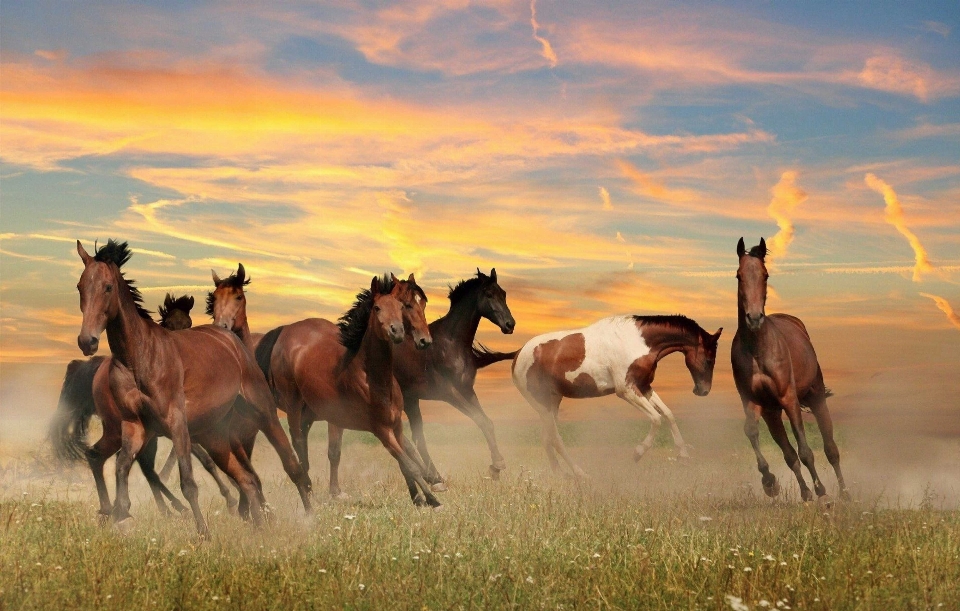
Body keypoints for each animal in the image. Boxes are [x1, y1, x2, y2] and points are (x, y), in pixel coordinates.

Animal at [49, 294, 239, 520]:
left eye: (189, 323)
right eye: (169, 325)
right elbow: (203, 459)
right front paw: (230, 497)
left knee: (136, 464)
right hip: (126, 430)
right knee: (139, 465)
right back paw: (167, 507)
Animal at [74, 240, 310, 536]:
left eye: (107, 287)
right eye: (80, 287)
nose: (87, 341)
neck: (139, 358)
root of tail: (231, 341)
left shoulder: (177, 424)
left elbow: (188, 481)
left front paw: (203, 534)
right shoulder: (135, 426)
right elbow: (122, 467)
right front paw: (119, 513)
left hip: (263, 414)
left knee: (290, 465)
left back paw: (310, 517)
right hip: (214, 436)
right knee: (246, 478)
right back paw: (257, 527)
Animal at [255, 276, 442, 506]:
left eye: (420, 304)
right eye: (407, 304)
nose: (424, 340)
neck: (372, 377)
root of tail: (285, 332)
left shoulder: (393, 424)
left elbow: (406, 455)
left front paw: (423, 492)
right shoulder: (380, 428)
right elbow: (407, 461)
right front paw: (431, 496)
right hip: (294, 406)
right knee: (297, 441)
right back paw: (308, 488)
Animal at [510, 316, 720, 478]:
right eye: (709, 359)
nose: (703, 390)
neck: (638, 342)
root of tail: (518, 353)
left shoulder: (644, 387)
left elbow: (668, 414)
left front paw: (683, 456)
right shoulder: (626, 390)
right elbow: (656, 418)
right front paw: (638, 453)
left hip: (552, 403)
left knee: (546, 438)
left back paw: (561, 475)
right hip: (543, 405)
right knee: (555, 438)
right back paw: (580, 474)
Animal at [732, 238, 852, 502]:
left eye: (765, 274)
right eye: (738, 275)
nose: (753, 318)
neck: (757, 348)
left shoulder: (789, 397)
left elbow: (806, 450)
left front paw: (821, 491)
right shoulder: (752, 401)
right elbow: (752, 432)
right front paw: (770, 483)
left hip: (816, 398)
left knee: (830, 448)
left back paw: (844, 493)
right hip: (772, 413)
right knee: (789, 454)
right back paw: (805, 492)